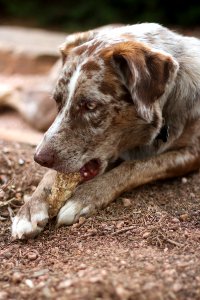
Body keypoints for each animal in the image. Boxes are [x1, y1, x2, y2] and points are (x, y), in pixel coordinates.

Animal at [11, 23, 200, 239]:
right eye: (58, 100)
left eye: (90, 105)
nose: (39, 158)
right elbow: (51, 174)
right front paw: (30, 208)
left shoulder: (192, 153)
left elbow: (136, 166)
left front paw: (85, 197)